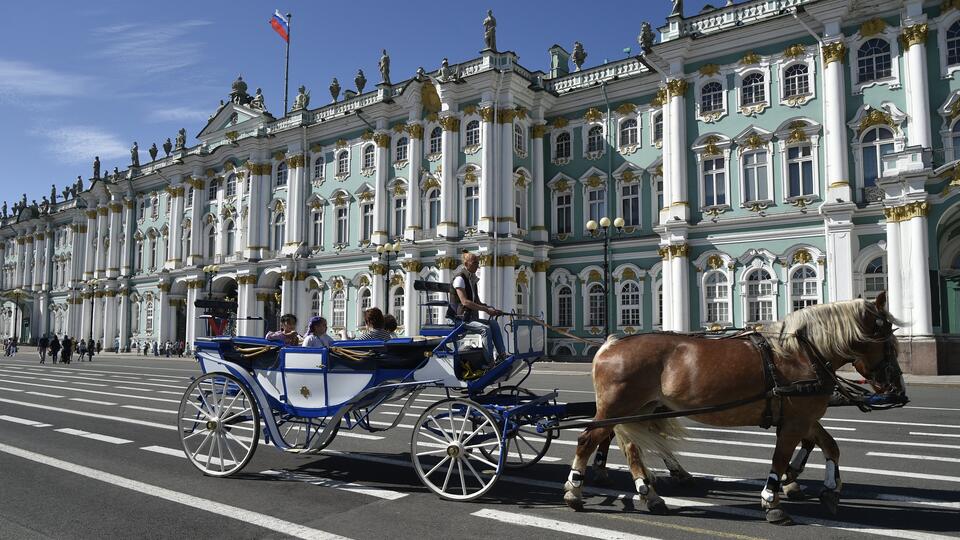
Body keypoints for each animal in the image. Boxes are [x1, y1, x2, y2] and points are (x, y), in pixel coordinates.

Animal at [564, 294, 900, 524]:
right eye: (888, 342)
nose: (897, 391)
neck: (800, 353)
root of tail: (610, 343)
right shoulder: (794, 422)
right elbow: (780, 459)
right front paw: (772, 502)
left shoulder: (803, 417)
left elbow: (830, 447)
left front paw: (828, 491)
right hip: (616, 409)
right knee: (587, 440)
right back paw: (574, 490)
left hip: (638, 411)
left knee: (631, 448)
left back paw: (651, 495)